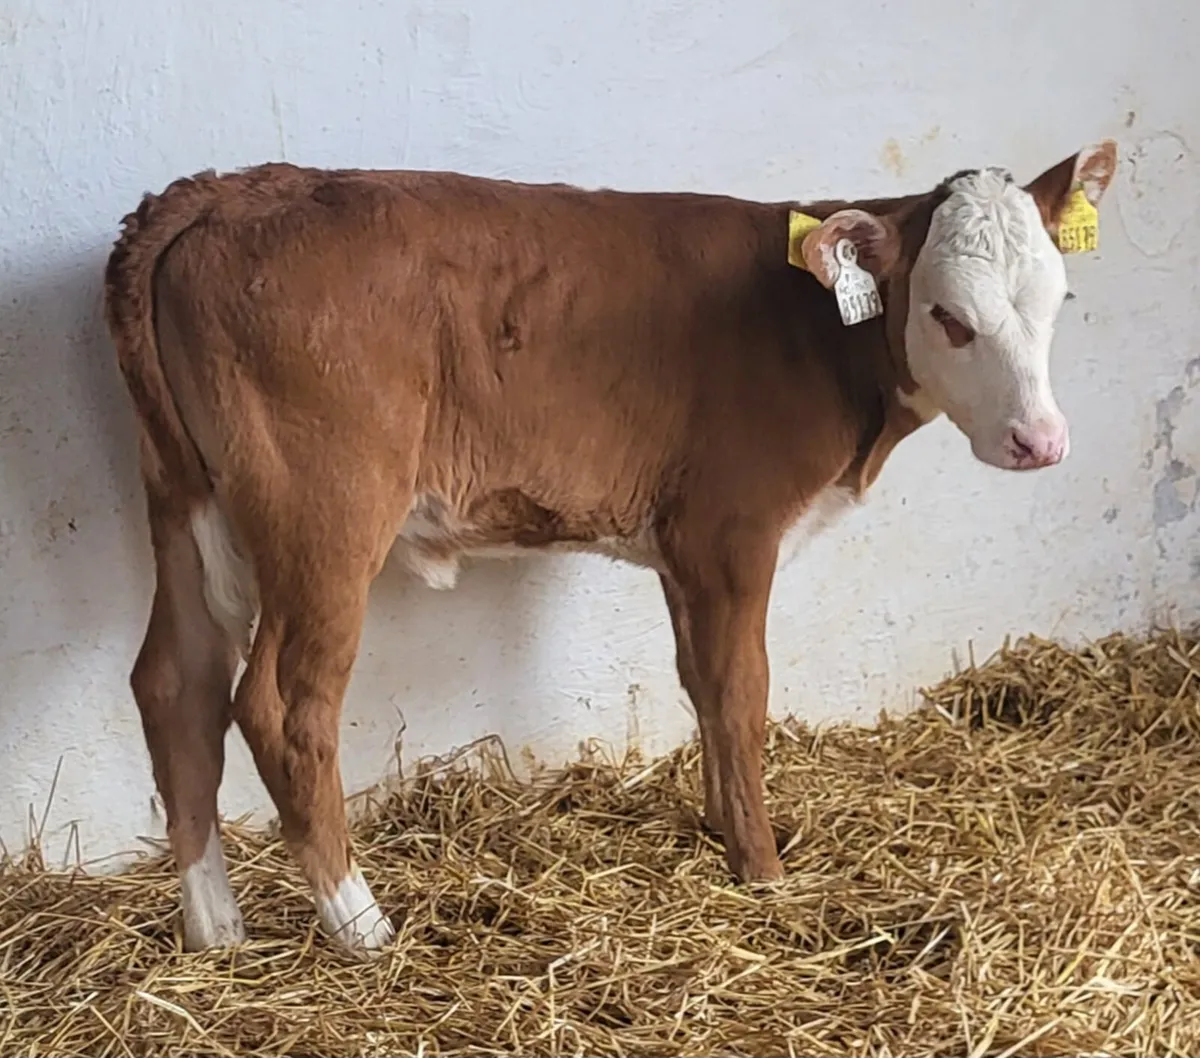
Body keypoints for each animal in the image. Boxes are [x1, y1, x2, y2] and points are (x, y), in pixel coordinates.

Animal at [103, 140, 1117, 955]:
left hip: (186, 500)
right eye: (948, 315)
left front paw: (721, 827)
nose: (1042, 441)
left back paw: (216, 928)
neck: (814, 333)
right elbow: (743, 693)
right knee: (283, 704)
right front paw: (763, 868)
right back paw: (361, 926)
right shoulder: (733, 531)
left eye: (1062, 300)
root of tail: (225, 192)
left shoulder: (684, 547)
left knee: (175, 682)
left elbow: (702, 685)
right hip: (326, 515)